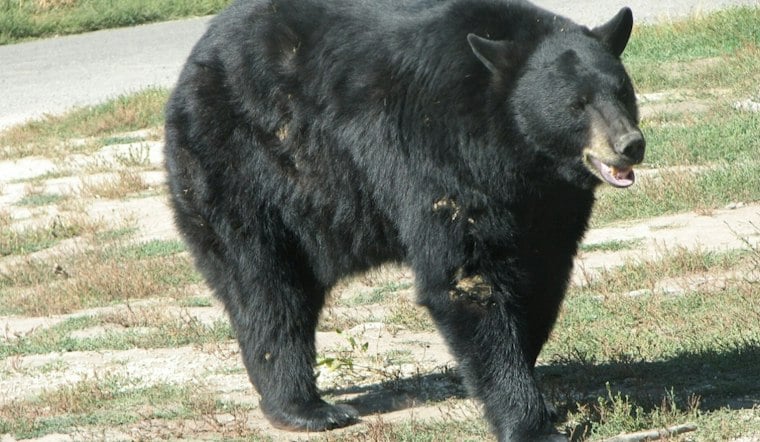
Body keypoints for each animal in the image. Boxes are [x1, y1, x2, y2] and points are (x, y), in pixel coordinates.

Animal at [164, 0, 645, 440]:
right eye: (577, 104)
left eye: (622, 91)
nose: (630, 144)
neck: (515, 151)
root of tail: (193, 60)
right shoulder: (441, 157)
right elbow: (466, 279)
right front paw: (529, 422)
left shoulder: (549, 202)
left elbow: (542, 275)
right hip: (243, 167)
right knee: (267, 287)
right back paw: (306, 408)